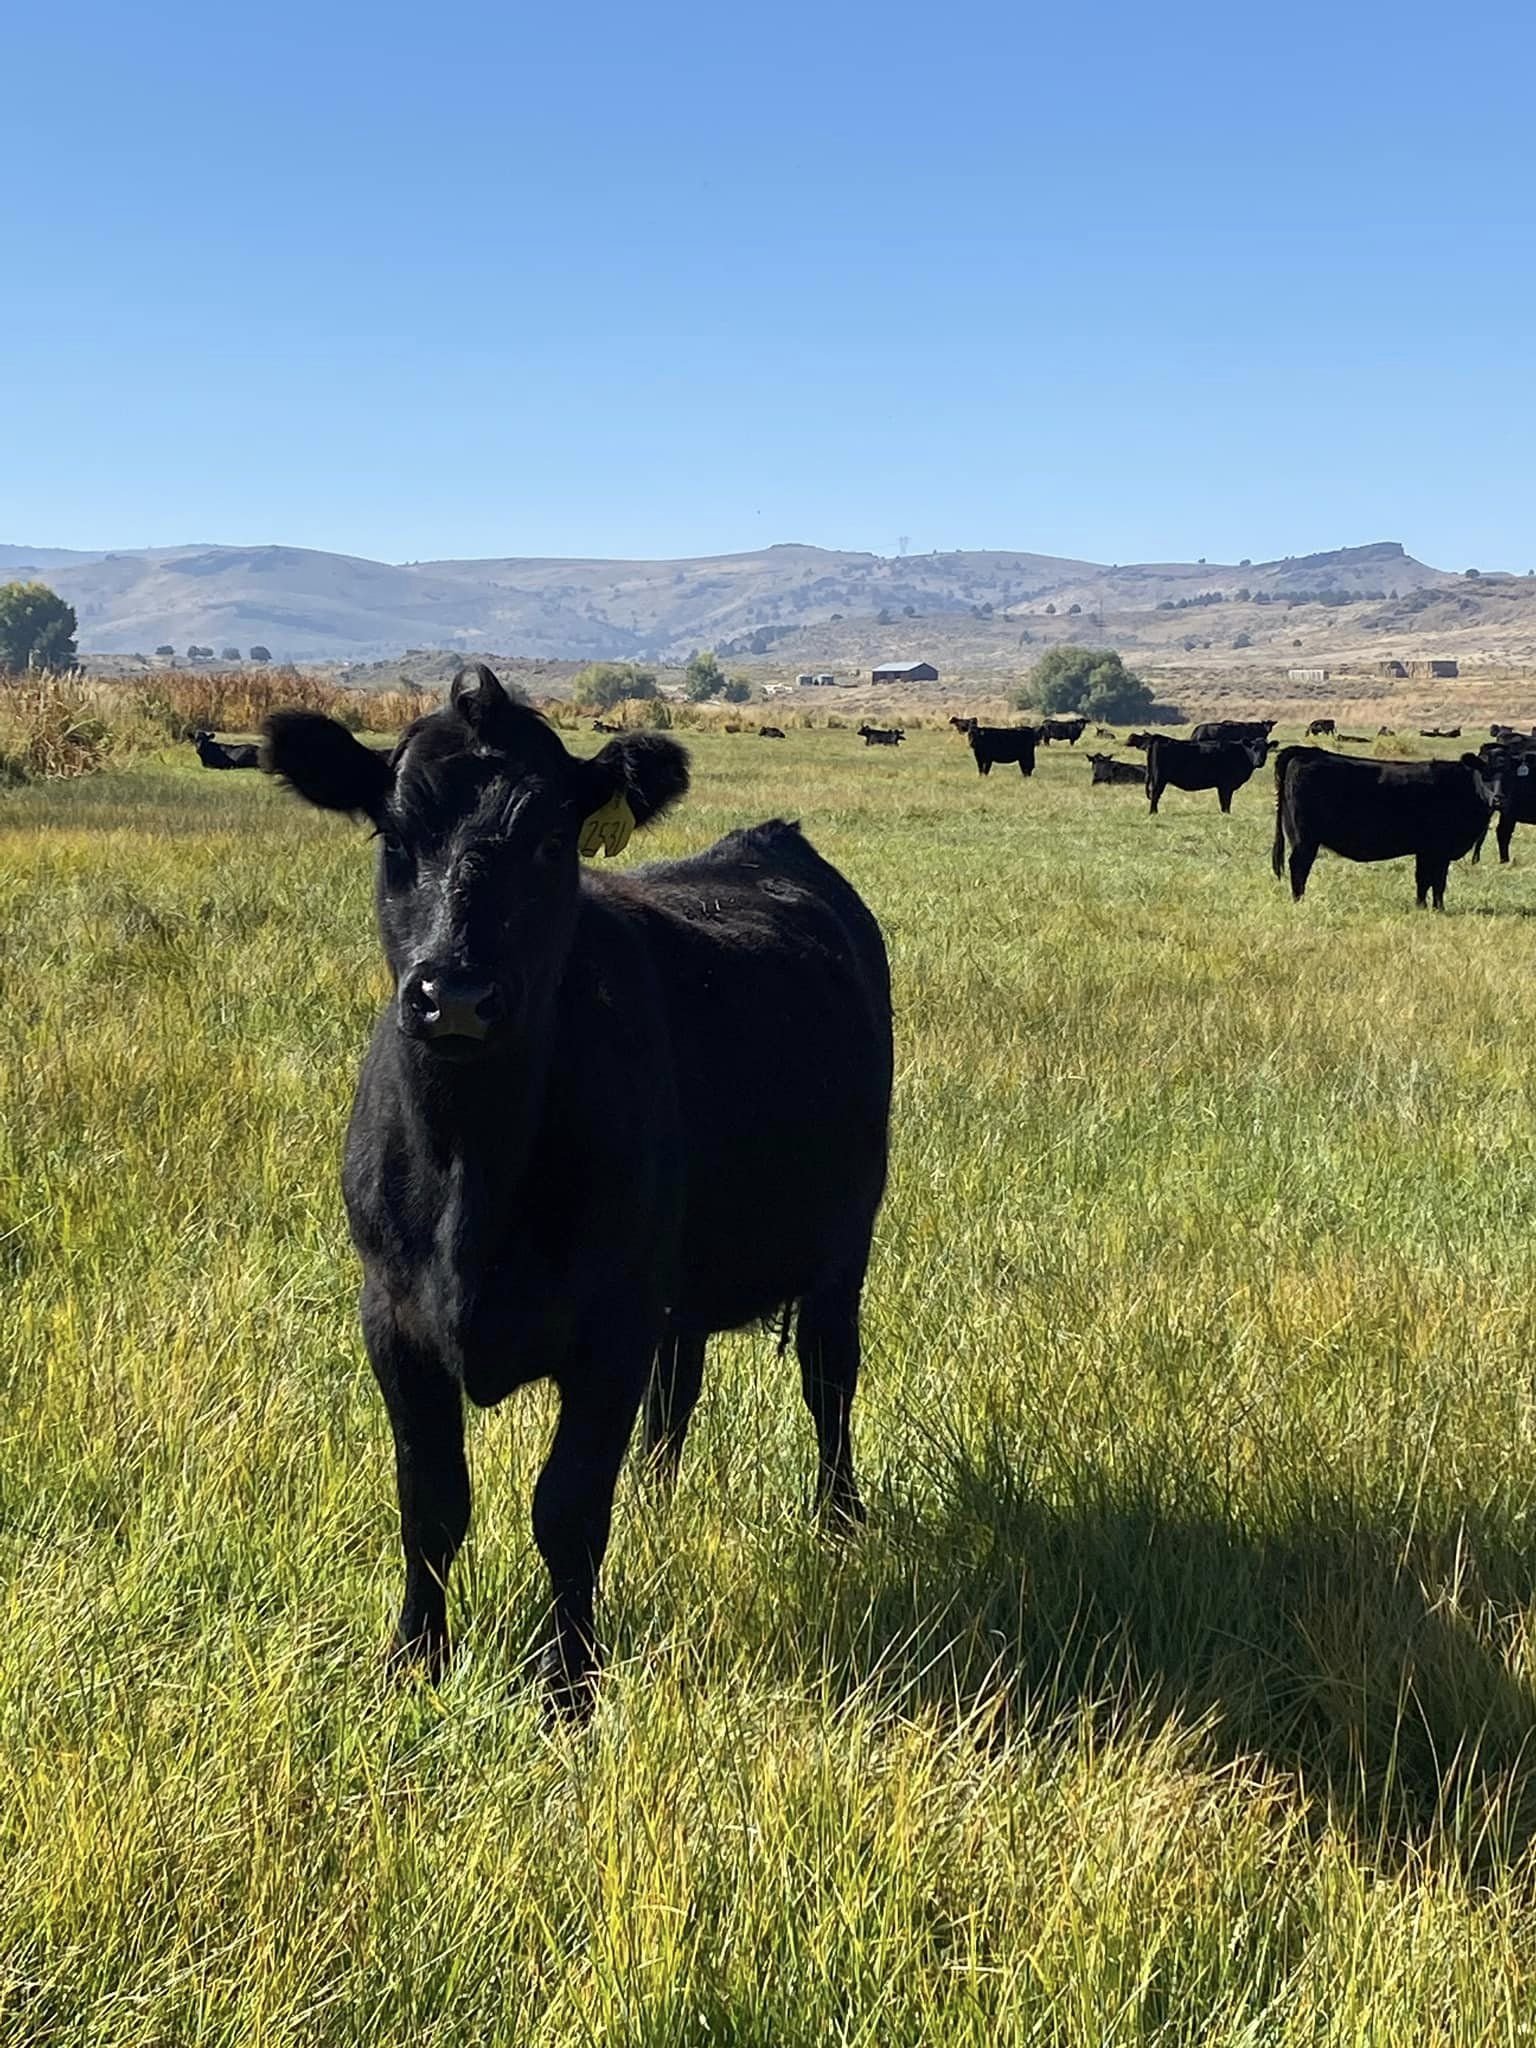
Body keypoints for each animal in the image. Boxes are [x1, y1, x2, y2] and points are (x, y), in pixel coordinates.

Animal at [261, 665, 893, 1719]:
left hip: (844, 1239)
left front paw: (568, 1688)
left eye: (551, 841)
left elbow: (566, 1508)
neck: (473, 1168)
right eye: (396, 834)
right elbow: (430, 1501)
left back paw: (838, 1522)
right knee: (680, 1387)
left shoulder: (611, 1323)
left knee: (828, 1380)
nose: (456, 994)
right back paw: (661, 1498)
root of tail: (770, 839)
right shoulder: (391, 1317)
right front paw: (413, 1665)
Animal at [1271, 743, 1501, 909]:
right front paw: (1438, 909)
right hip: (1304, 840)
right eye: (1485, 772)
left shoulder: (1426, 851)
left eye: (1508, 772)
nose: (1499, 799)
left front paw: (1422, 907)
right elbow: (1436, 881)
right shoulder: (1439, 850)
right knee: (1299, 866)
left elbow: (1423, 880)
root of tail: (1305, 752)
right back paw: (1299, 901)